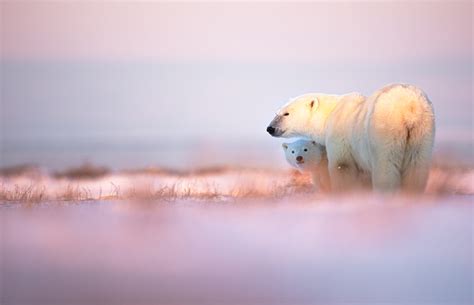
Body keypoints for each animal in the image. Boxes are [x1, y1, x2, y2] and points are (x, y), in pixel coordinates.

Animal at [264, 83, 436, 192]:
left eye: (286, 113)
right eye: (277, 112)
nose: (270, 128)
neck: (329, 114)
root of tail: (409, 107)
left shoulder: (339, 135)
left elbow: (342, 165)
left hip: (384, 127)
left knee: (385, 164)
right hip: (423, 129)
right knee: (416, 165)